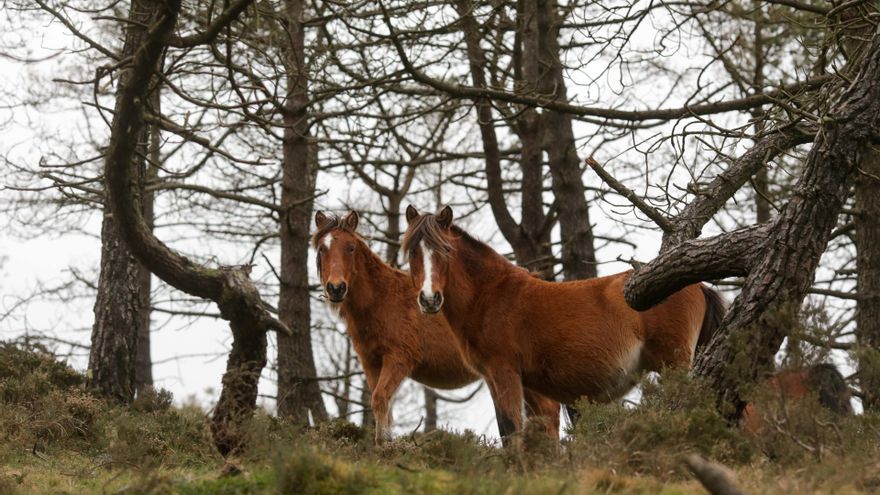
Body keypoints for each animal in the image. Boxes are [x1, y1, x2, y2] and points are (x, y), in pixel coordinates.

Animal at [312, 211, 560, 443]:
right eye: (322, 249)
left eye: (351, 248)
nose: (336, 288)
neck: (382, 299)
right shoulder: (371, 363)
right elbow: (383, 407)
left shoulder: (399, 359)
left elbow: (380, 400)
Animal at [401, 205, 726, 444]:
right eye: (412, 253)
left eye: (445, 251)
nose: (429, 299)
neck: (492, 294)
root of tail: (698, 285)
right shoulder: (522, 384)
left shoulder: (503, 373)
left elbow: (511, 432)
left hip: (674, 363)